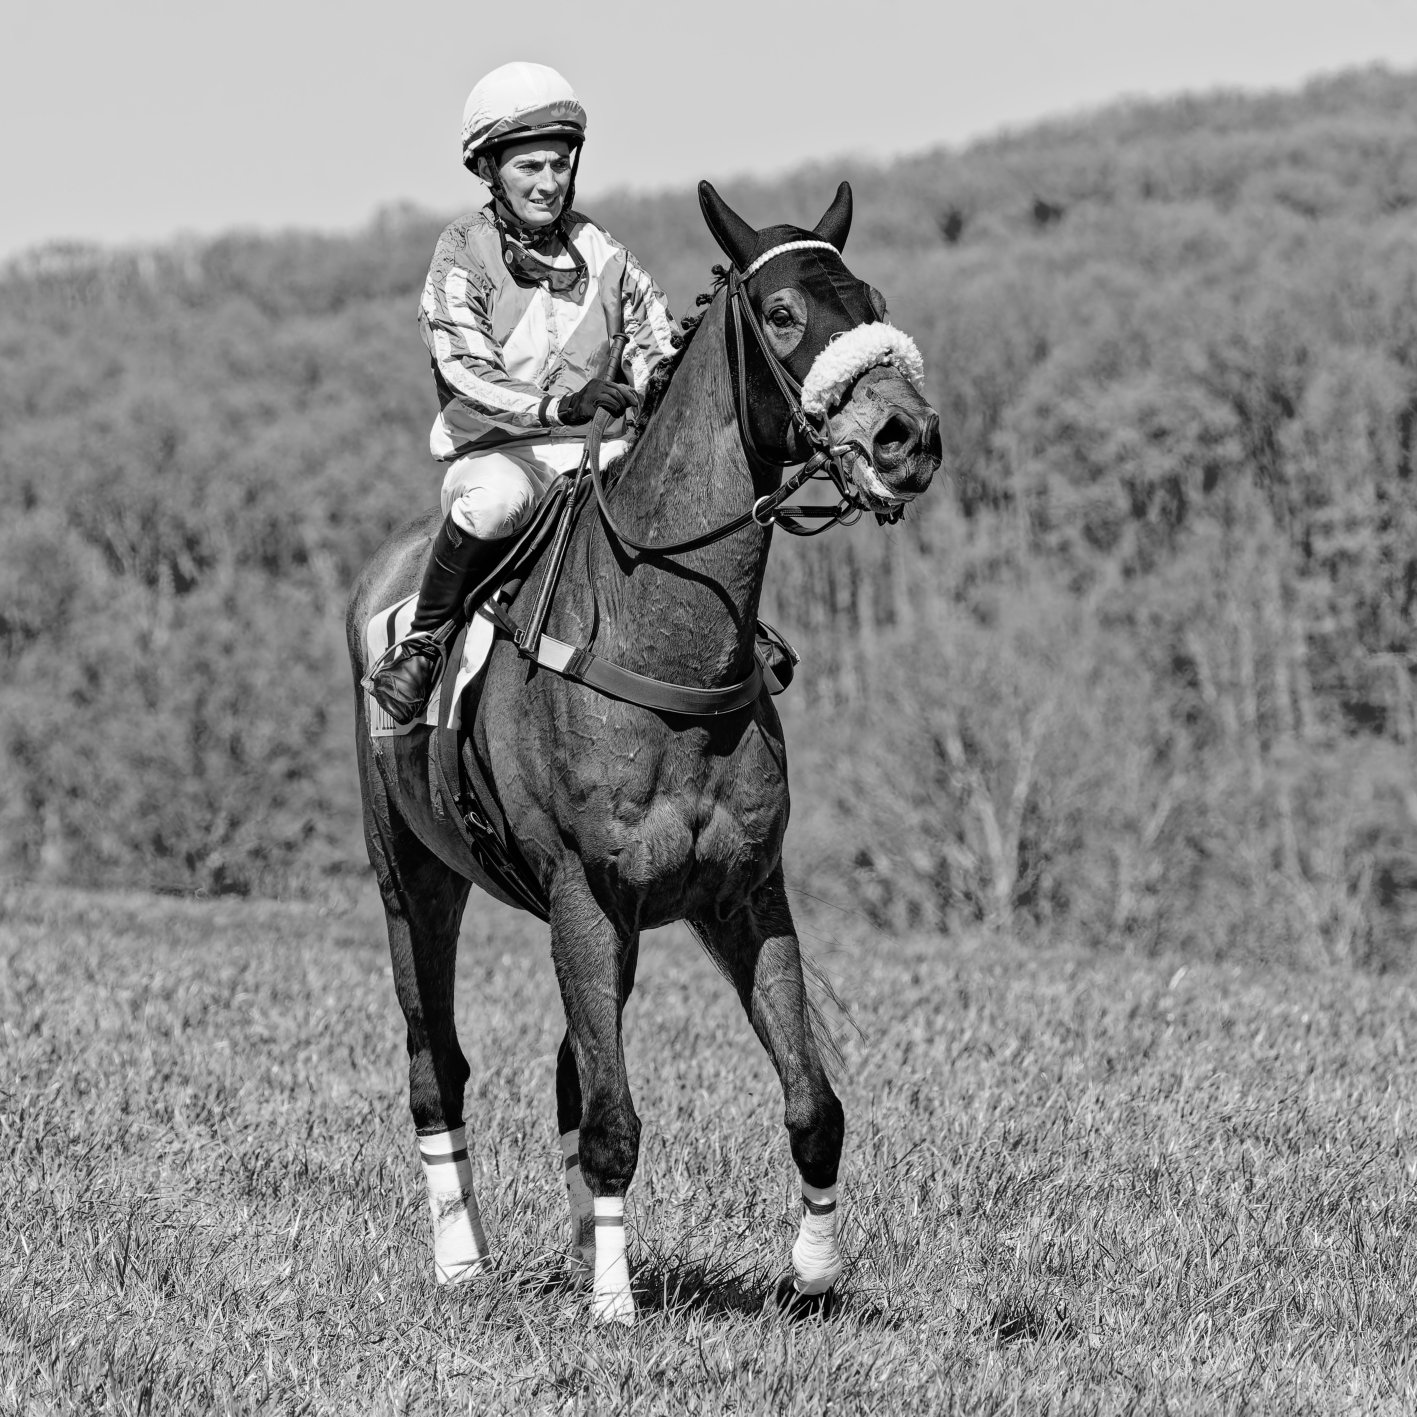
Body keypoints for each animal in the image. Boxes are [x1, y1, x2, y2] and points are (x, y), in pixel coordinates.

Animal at [346, 179, 942, 1325]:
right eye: (785, 315)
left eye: (876, 301)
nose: (907, 436)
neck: (663, 637)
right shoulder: (584, 891)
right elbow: (615, 1117)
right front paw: (614, 1306)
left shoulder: (741, 893)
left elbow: (812, 1101)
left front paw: (811, 1274)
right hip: (415, 878)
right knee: (437, 1062)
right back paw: (462, 1261)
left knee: (573, 1073)